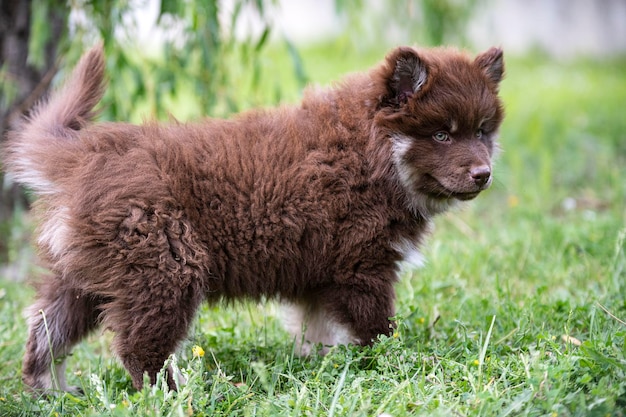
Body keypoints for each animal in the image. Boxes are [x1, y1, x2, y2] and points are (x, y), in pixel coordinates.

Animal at [2, 43, 502, 390]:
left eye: (481, 131)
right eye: (441, 135)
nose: (484, 175)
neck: (372, 152)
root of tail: (86, 154)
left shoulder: (322, 277)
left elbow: (318, 331)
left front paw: (323, 367)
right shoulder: (361, 268)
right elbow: (378, 330)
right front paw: (397, 363)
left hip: (84, 275)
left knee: (45, 330)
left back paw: (51, 392)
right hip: (165, 269)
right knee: (139, 350)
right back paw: (174, 394)